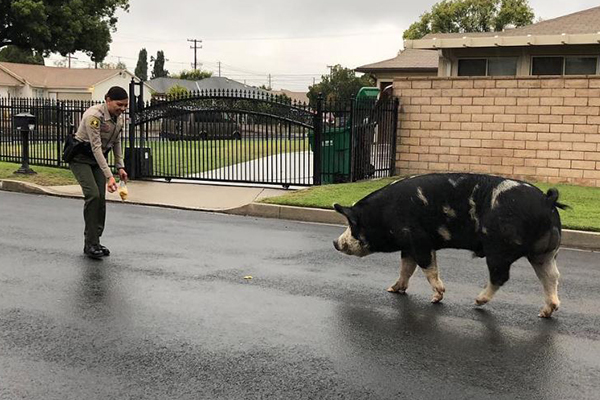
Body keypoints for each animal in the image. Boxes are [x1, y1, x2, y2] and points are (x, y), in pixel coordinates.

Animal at [332, 173, 568, 318]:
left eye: (352, 224)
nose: (335, 242)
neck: (384, 214)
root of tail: (547, 201)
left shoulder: (419, 239)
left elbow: (427, 268)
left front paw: (436, 297)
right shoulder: (408, 246)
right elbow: (406, 269)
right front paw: (392, 289)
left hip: (499, 248)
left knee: (500, 276)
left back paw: (477, 301)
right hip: (545, 253)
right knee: (551, 276)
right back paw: (545, 312)